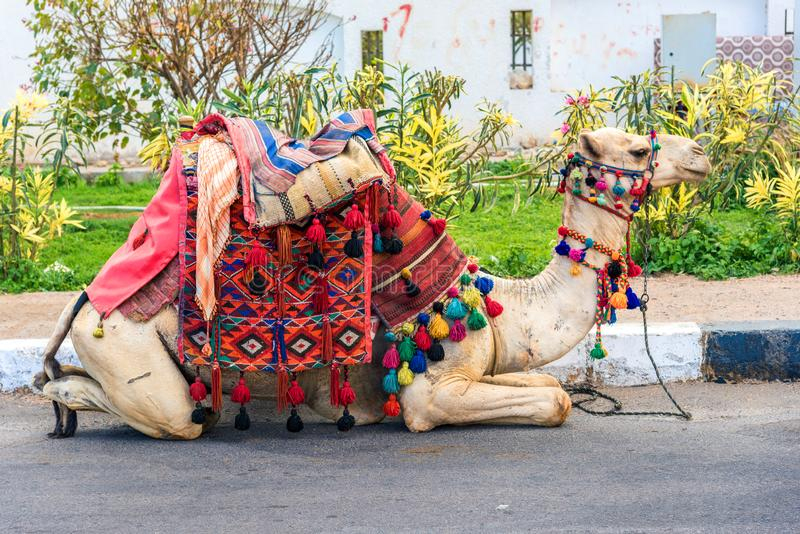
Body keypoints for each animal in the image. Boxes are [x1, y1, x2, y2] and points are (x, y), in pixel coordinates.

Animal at [34, 129, 708, 440]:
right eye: (639, 149)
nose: (702, 153)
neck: (499, 305)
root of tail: (87, 299)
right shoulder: (432, 392)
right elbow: (555, 402)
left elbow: (548, 384)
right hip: (127, 346)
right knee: (170, 415)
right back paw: (60, 401)